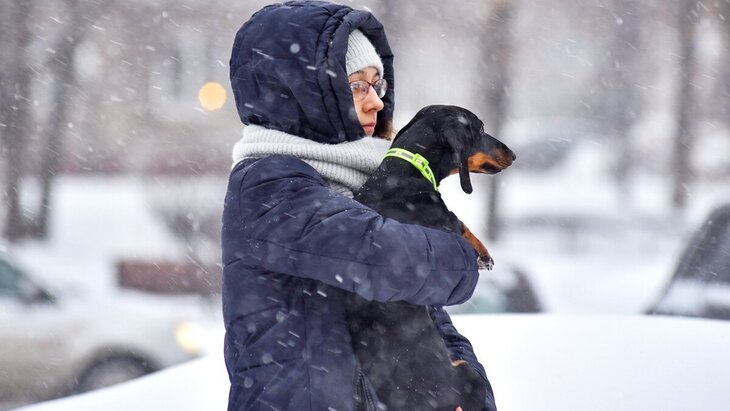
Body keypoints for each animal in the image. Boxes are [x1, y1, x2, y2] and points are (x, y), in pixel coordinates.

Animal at [347, 105, 515, 410]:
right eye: (481, 129)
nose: (513, 154)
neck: (405, 170)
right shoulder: (442, 222)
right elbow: (460, 224)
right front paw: (484, 255)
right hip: (467, 373)